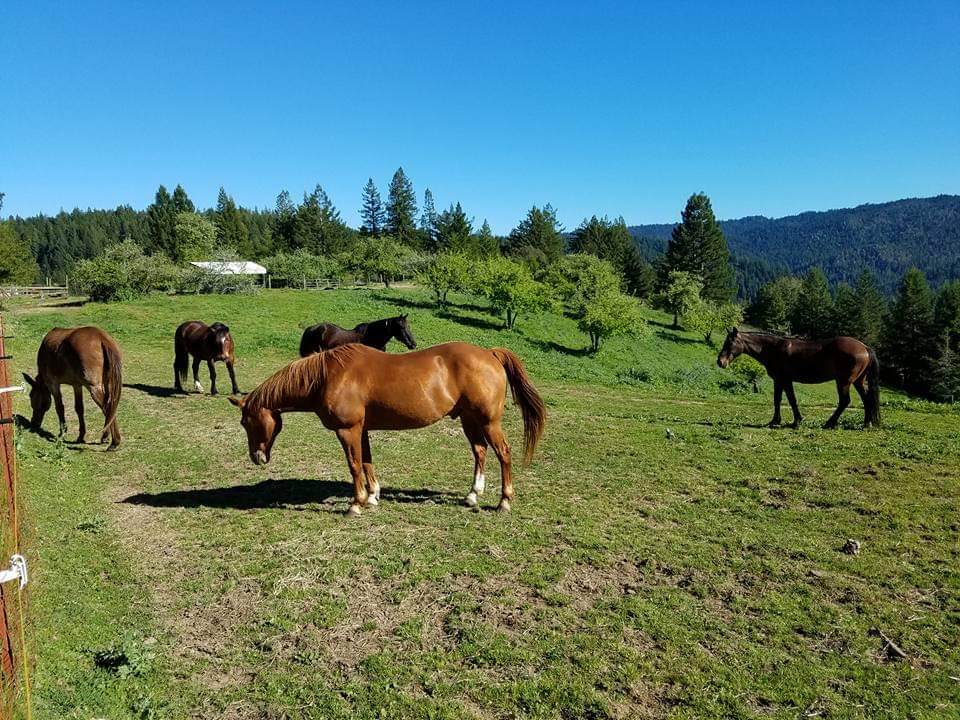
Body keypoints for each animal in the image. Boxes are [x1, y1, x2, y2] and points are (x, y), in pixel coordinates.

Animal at [229, 342, 544, 516]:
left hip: (489, 422)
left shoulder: (348, 430)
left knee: (503, 453)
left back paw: (504, 501)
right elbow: (367, 463)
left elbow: (355, 465)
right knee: (480, 452)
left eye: (246, 422)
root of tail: (490, 354)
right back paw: (472, 495)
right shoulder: (362, 430)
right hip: (469, 419)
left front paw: (356, 504)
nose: (257, 458)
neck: (327, 376)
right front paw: (372, 497)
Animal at [716, 330, 880, 430]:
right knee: (867, 399)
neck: (773, 349)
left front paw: (796, 421)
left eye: (730, 343)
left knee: (845, 401)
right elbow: (777, 400)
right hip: (858, 382)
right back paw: (867, 423)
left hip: (844, 382)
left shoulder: (785, 380)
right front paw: (775, 421)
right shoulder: (779, 381)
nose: (720, 362)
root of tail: (865, 347)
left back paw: (829, 423)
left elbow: (791, 400)